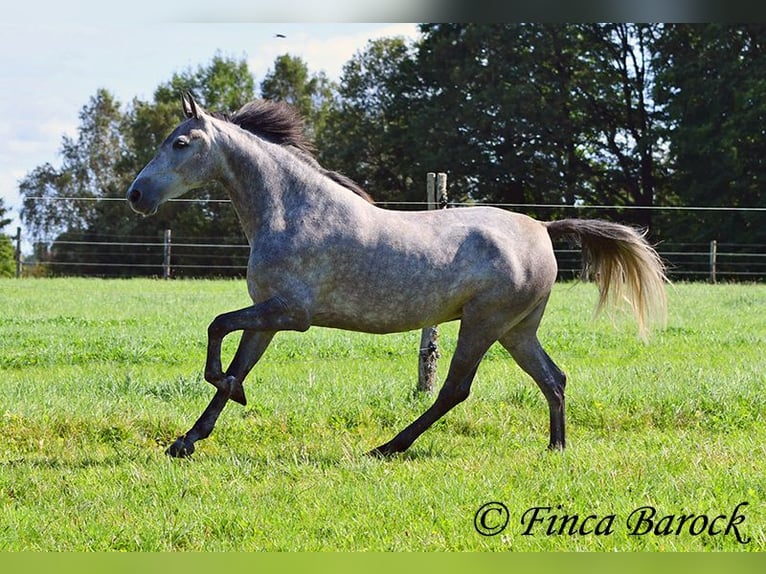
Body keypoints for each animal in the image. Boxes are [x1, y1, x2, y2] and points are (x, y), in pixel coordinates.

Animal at [124, 95, 664, 464]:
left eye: (180, 143)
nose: (136, 195)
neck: (292, 210)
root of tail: (543, 228)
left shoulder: (290, 314)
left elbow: (217, 326)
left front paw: (224, 400)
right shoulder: (268, 318)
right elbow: (236, 364)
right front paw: (188, 439)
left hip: (483, 324)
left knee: (455, 390)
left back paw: (387, 447)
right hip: (517, 330)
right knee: (553, 378)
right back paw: (555, 448)